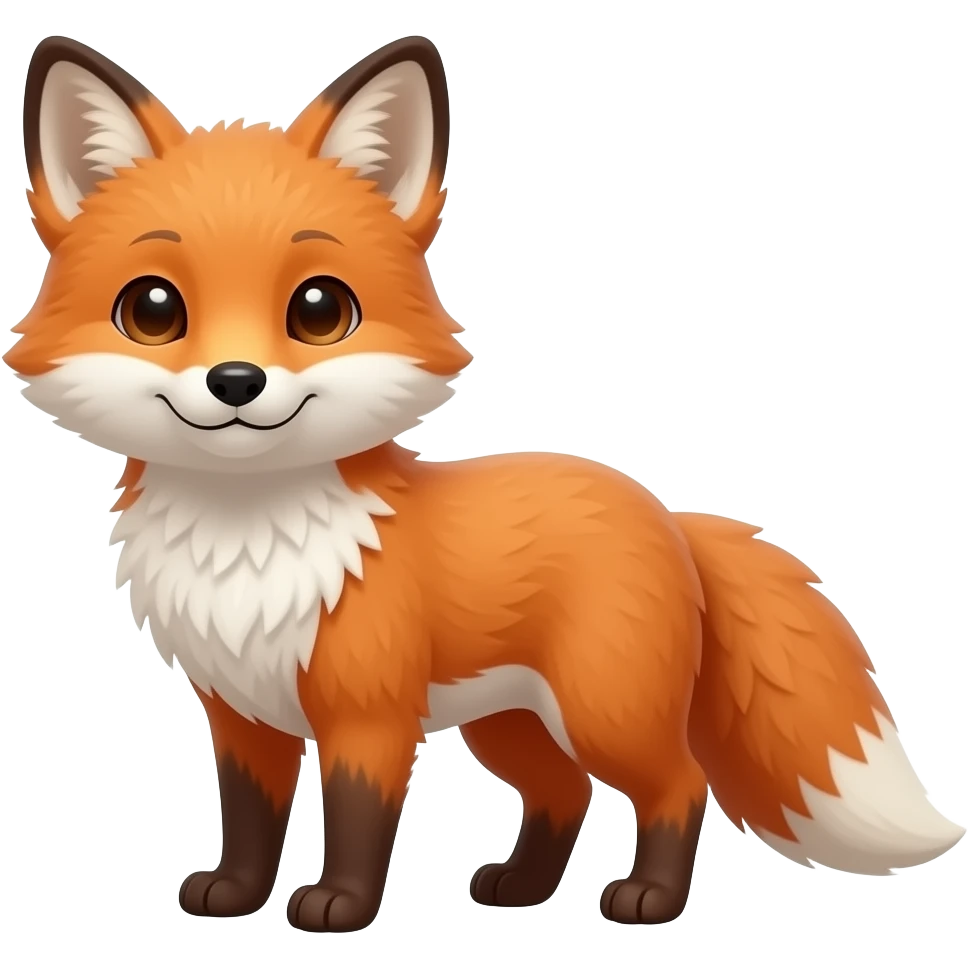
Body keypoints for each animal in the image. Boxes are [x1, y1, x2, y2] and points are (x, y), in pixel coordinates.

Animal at [6, 34, 964, 933]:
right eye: (153, 310)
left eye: (319, 310)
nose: (235, 382)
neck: (250, 545)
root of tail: (668, 513)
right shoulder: (244, 716)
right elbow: (248, 821)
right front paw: (235, 895)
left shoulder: (370, 716)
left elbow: (358, 822)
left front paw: (340, 906)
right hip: (508, 724)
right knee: (564, 794)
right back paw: (520, 889)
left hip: (601, 711)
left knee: (677, 783)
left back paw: (649, 897)